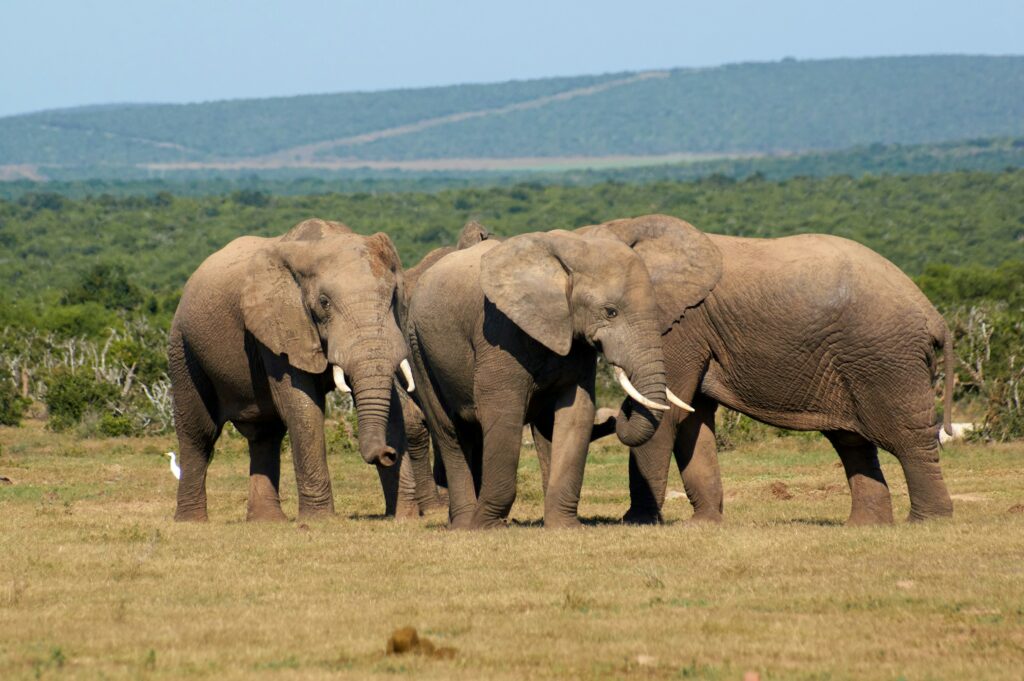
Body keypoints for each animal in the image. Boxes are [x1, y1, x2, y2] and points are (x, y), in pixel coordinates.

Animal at [168, 218, 416, 521]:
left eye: (393, 297)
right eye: (324, 302)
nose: (388, 453)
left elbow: (393, 407)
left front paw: (405, 517)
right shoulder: (278, 326)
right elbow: (302, 408)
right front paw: (320, 521)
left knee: (265, 435)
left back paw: (267, 522)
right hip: (183, 348)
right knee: (198, 433)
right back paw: (191, 521)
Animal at [406, 229, 694, 529]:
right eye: (610, 311)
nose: (621, 411)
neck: (570, 252)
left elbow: (577, 413)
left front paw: (565, 526)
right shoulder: (498, 332)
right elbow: (502, 412)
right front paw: (486, 526)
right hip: (418, 347)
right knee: (449, 431)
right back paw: (465, 524)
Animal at [568, 214, 954, 525]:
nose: (613, 414)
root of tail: (932, 313)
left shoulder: (679, 323)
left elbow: (668, 416)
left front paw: (636, 522)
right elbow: (693, 419)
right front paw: (703, 525)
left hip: (886, 357)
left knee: (906, 436)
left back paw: (926, 522)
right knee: (852, 441)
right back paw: (865, 526)